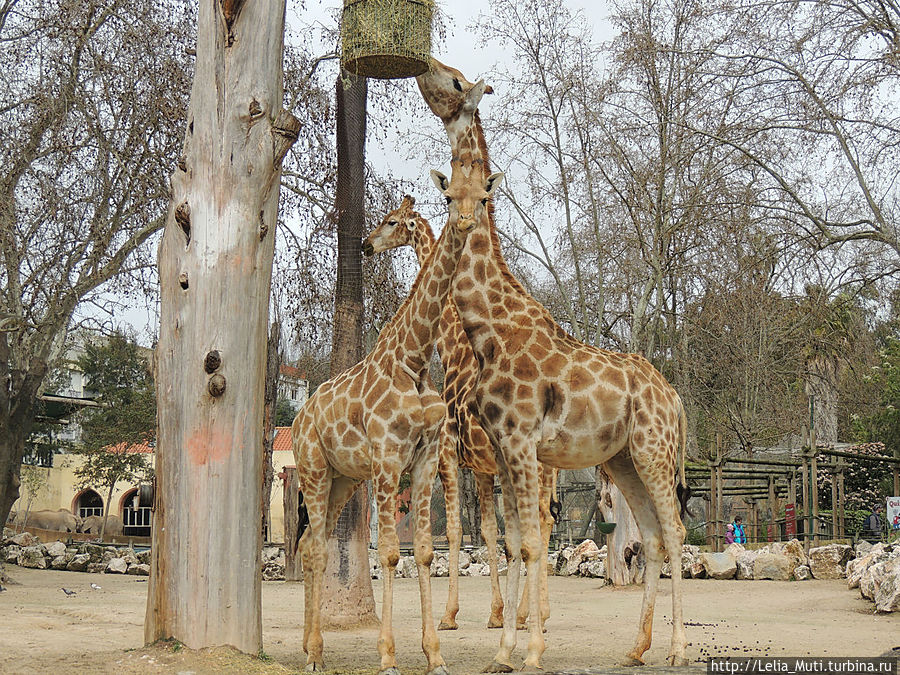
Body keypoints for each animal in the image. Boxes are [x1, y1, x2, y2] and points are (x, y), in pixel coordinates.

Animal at [414, 60, 688, 672]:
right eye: (447, 194)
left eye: (454, 81)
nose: (423, 68)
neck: (488, 331)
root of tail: (675, 397)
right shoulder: (506, 448)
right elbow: (517, 542)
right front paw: (504, 650)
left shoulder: (520, 445)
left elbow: (533, 542)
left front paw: (532, 649)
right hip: (624, 459)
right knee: (654, 535)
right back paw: (637, 647)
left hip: (654, 452)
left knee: (678, 530)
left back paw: (679, 648)